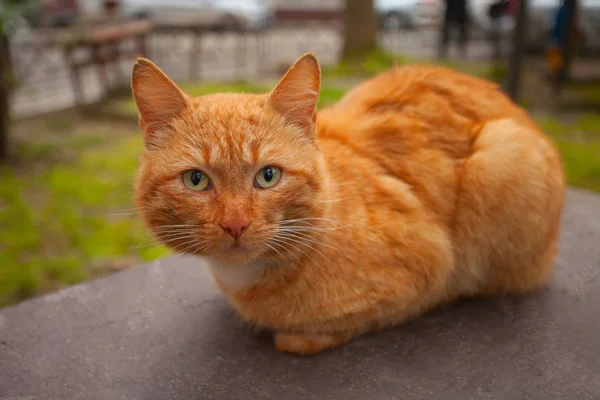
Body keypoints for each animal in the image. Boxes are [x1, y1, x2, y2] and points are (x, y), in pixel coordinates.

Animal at [130, 51, 564, 354]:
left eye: (268, 176)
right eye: (196, 180)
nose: (235, 224)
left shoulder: (432, 266)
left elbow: (382, 312)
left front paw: (302, 336)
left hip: (504, 156)